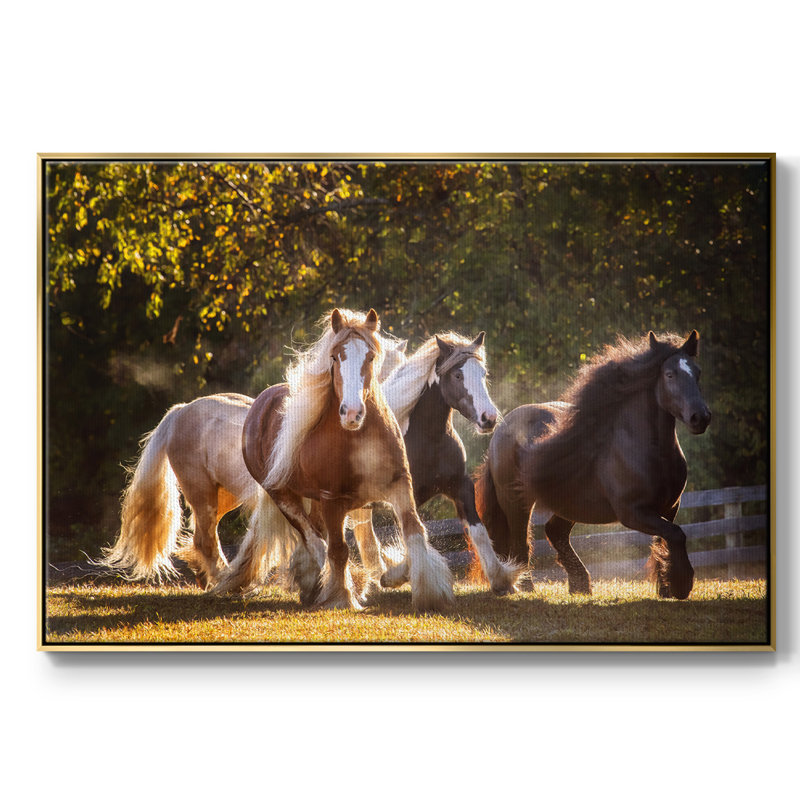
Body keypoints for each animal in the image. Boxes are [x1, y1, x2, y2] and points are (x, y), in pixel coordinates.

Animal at [98, 337, 407, 589]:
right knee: (206, 539)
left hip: (224, 497)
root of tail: (180, 411)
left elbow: (360, 540)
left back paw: (209, 580)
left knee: (202, 538)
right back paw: (222, 581)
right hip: (202, 494)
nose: (355, 414)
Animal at [213, 308, 454, 612]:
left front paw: (430, 592)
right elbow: (338, 550)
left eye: (370, 356)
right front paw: (343, 597)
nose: (351, 413)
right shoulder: (332, 500)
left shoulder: (399, 485)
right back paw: (326, 586)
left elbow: (414, 531)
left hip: (314, 501)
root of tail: (260, 403)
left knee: (316, 538)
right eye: (336, 356)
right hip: (283, 497)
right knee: (313, 540)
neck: (359, 439)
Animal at [348, 331, 524, 597]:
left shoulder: (461, 487)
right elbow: (414, 534)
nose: (489, 418)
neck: (430, 440)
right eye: (458, 375)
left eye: (483, 373)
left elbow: (478, 531)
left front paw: (501, 580)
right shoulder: (406, 496)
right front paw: (394, 576)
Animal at [474, 331, 711, 600]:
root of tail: (501, 429)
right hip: (516, 502)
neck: (650, 453)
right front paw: (681, 584)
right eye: (670, 374)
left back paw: (580, 584)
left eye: (698, 372)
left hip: (570, 502)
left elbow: (664, 541)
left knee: (555, 532)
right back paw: (526, 587)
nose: (700, 417)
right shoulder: (633, 512)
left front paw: (667, 587)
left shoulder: (670, 507)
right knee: (520, 543)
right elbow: (675, 534)